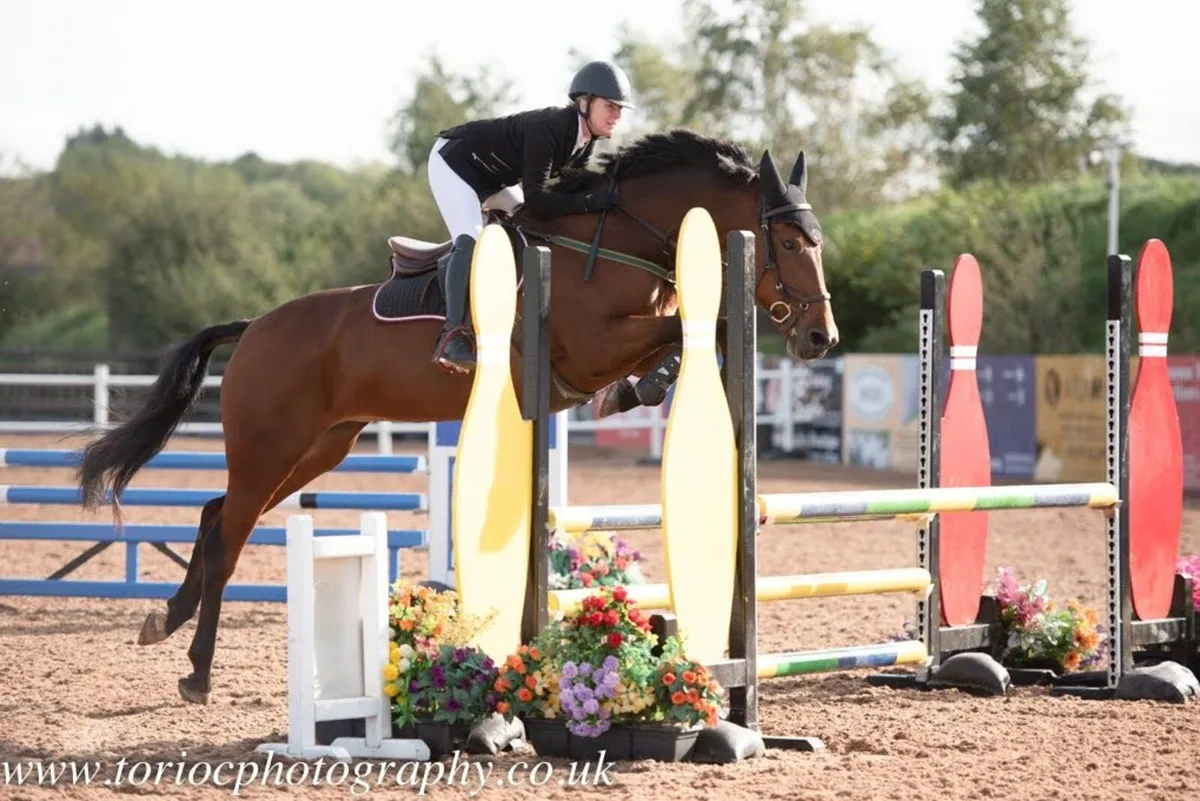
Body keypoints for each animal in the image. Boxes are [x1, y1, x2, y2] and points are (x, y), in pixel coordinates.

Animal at [74, 128, 839, 705]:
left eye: (818, 241)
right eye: (790, 243)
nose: (819, 338)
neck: (619, 239)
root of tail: (256, 326)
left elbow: (689, 335)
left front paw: (636, 391)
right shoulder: (594, 346)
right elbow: (698, 327)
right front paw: (632, 390)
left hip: (319, 446)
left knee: (215, 514)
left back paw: (165, 623)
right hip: (272, 441)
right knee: (230, 535)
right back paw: (198, 672)